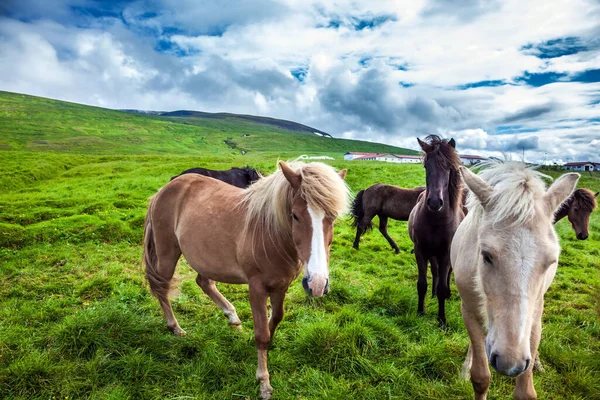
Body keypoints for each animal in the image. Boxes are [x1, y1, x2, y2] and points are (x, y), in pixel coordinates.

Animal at [143, 161, 350, 398]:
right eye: (295, 215)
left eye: (332, 217)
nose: (317, 285)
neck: (270, 233)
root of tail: (165, 189)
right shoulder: (257, 288)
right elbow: (262, 334)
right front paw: (264, 382)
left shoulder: (281, 285)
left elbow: (276, 318)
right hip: (167, 252)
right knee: (162, 287)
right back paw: (175, 327)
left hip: (205, 257)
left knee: (204, 283)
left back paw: (232, 317)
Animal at [408, 136, 464, 326]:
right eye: (426, 165)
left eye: (448, 167)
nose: (434, 202)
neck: (436, 220)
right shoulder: (421, 251)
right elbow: (422, 283)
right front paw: (420, 312)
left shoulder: (446, 254)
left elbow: (442, 285)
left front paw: (442, 320)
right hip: (432, 254)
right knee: (436, 271)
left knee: (445, 276)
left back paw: (447, 295)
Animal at [452, 163, 580, 400]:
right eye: (486, 255)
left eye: (551, 261)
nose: (510, 363)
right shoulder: (469, 311)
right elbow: (480, 377)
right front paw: (469, 371)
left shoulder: (533, 317)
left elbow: (525, 392)